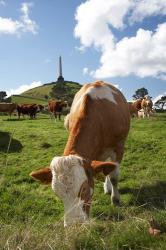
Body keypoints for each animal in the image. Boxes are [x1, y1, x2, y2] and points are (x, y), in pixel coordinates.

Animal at [30, 80, 130, 227]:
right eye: (57, 193)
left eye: (84, 189)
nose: (75, 225)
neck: (100, 117)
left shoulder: (118, 147)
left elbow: (114, 177)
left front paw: (116, 200)